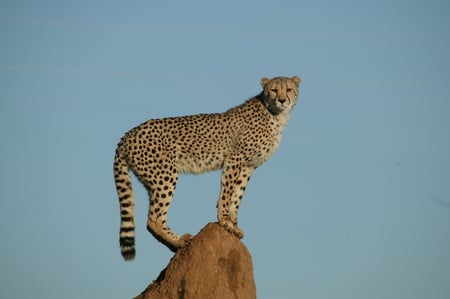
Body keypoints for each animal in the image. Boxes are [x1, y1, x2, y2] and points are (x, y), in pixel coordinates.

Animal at [114, 75, 300, 260]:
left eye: (288, 89)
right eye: (274, 90)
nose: (282, 100)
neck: (275, 115)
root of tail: (127, 135)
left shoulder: (248, 166)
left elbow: (237, 195)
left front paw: (234, 224)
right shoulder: (235, 158)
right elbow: (227, 191)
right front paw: (224, 221)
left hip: (152, 179)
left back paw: (174, 245)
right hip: (165, 176)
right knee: (154, 218)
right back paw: (179, 241)